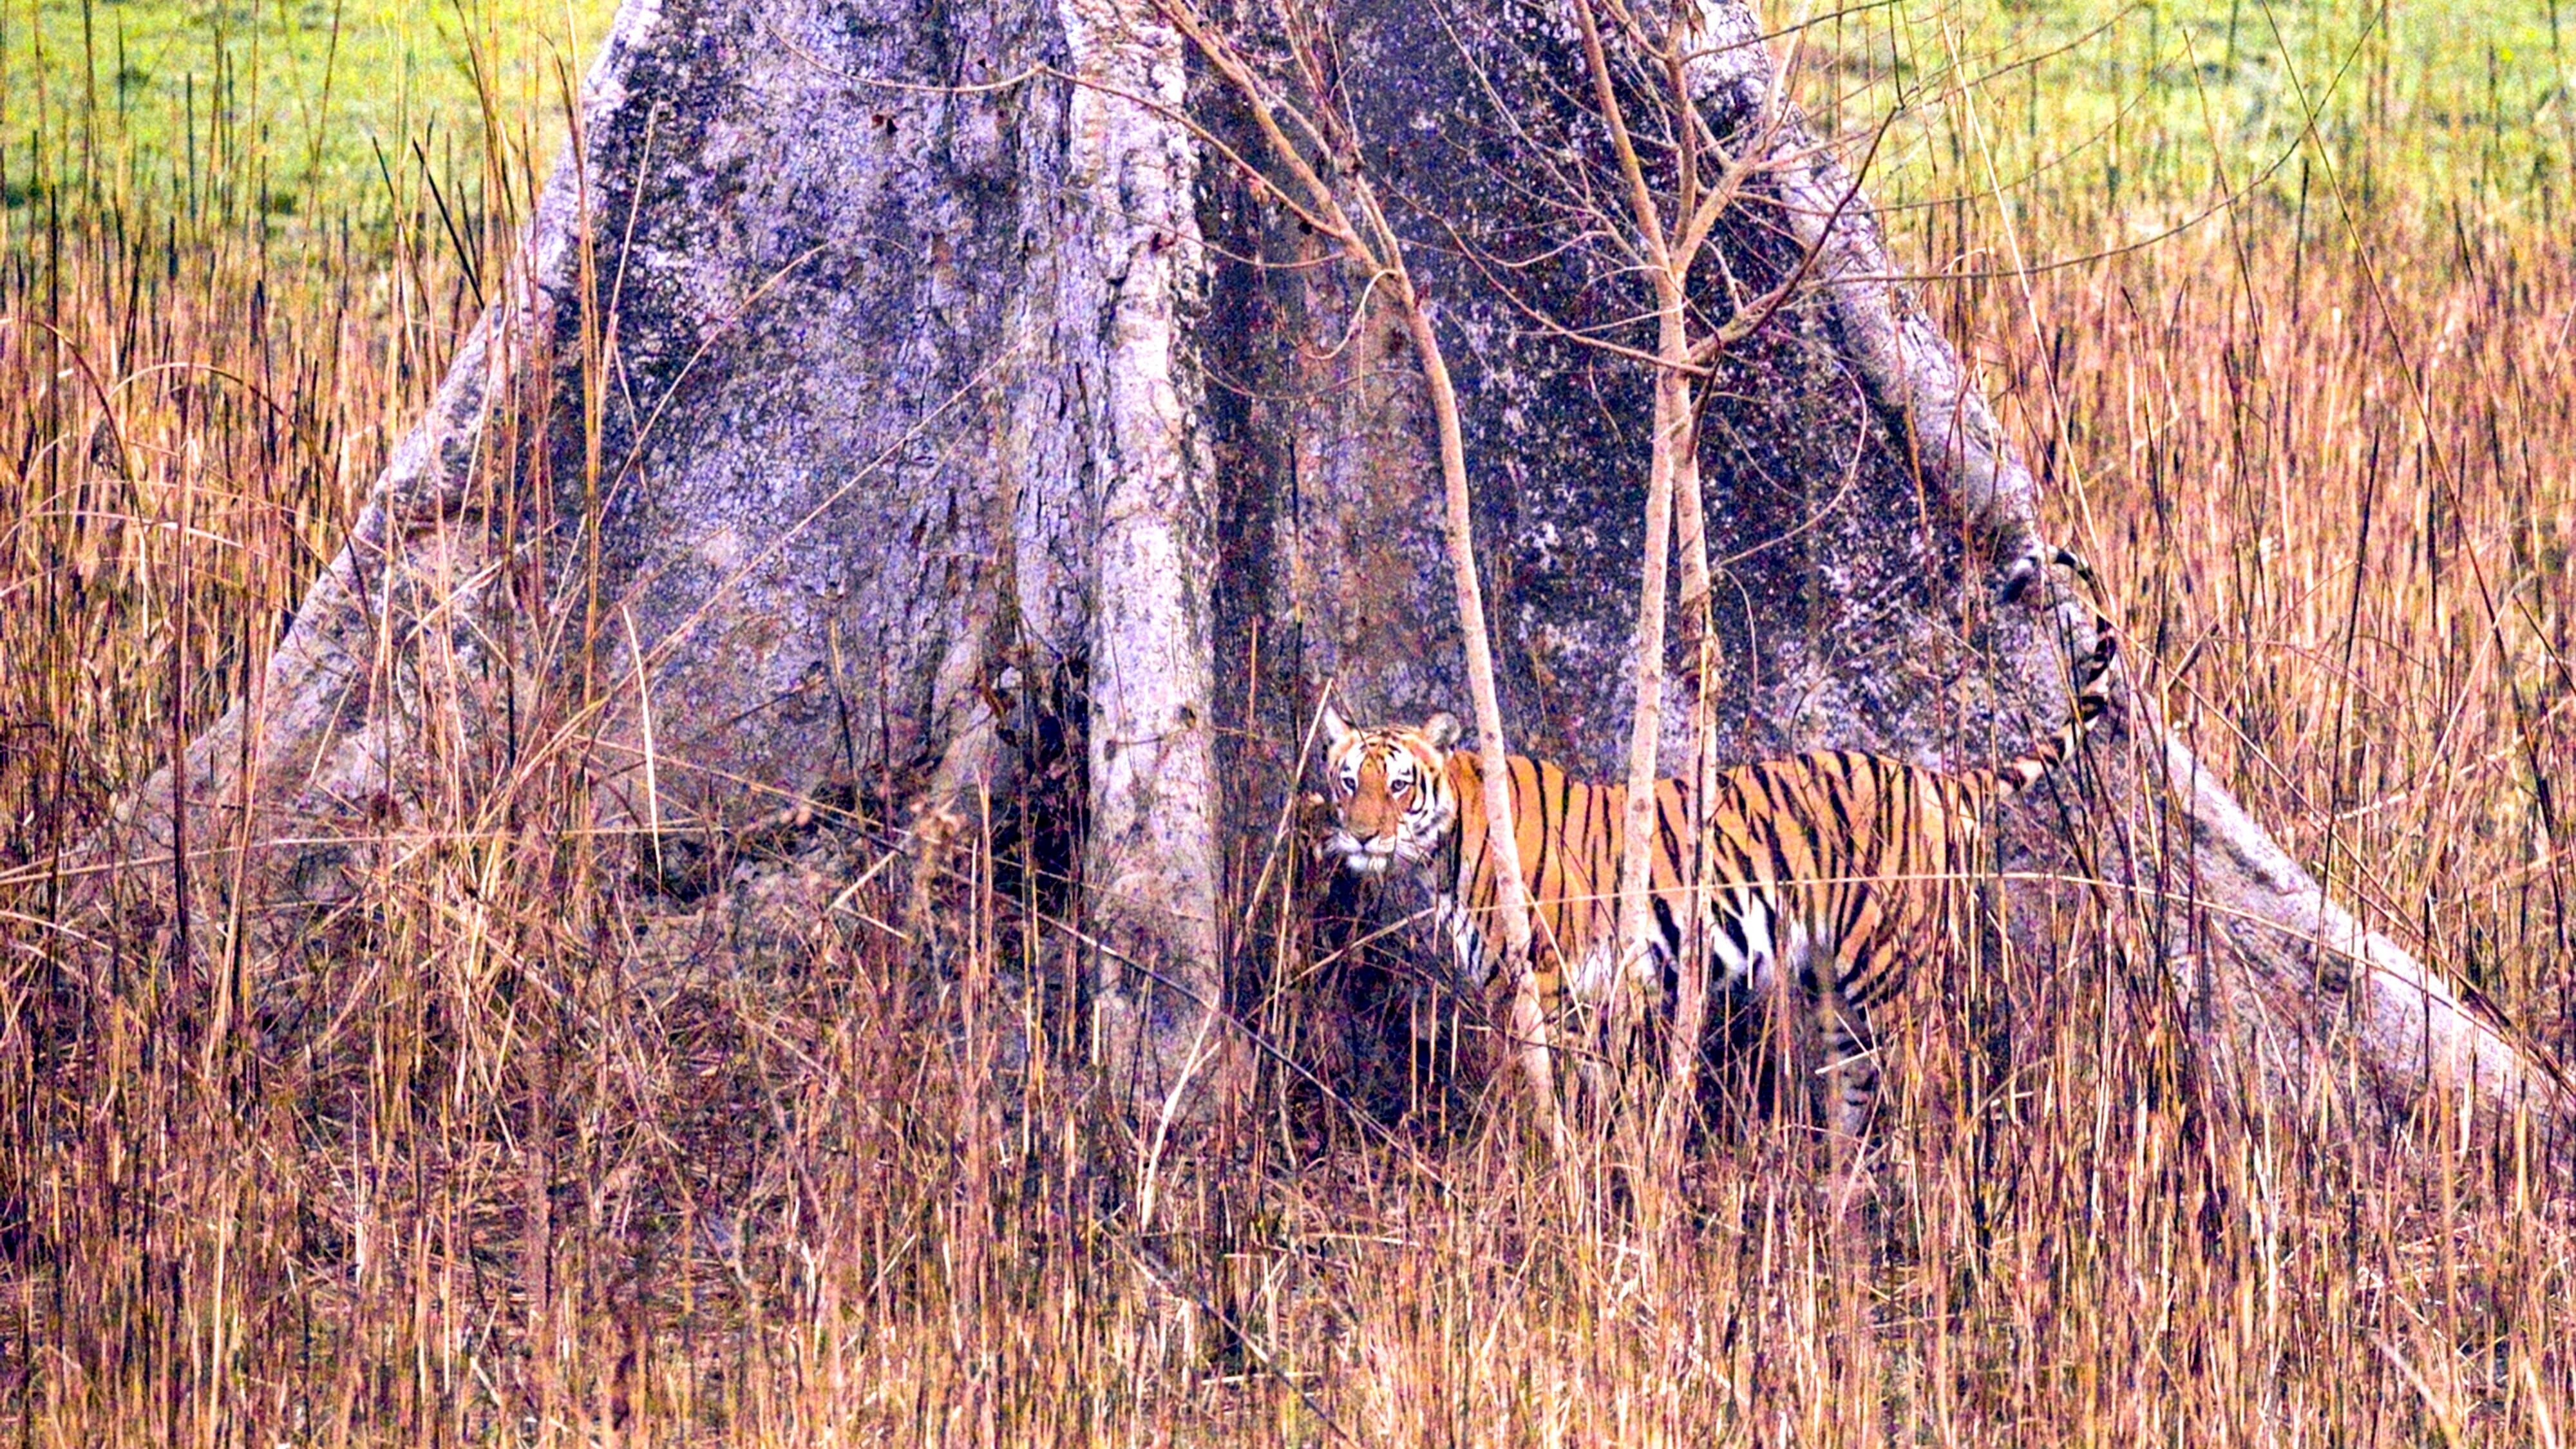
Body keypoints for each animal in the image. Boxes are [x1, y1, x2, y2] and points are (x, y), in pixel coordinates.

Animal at [1319, 621, 2123, 1129]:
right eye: (1346, 781)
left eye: (1397, 785)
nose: (1360, 833)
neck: (1443, 850)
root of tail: (1931, 778)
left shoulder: (1544, 979)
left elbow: (1547, 1085)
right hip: (1835, 988)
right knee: (1858, 1094)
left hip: (1894, 972)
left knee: (1935, 1076)